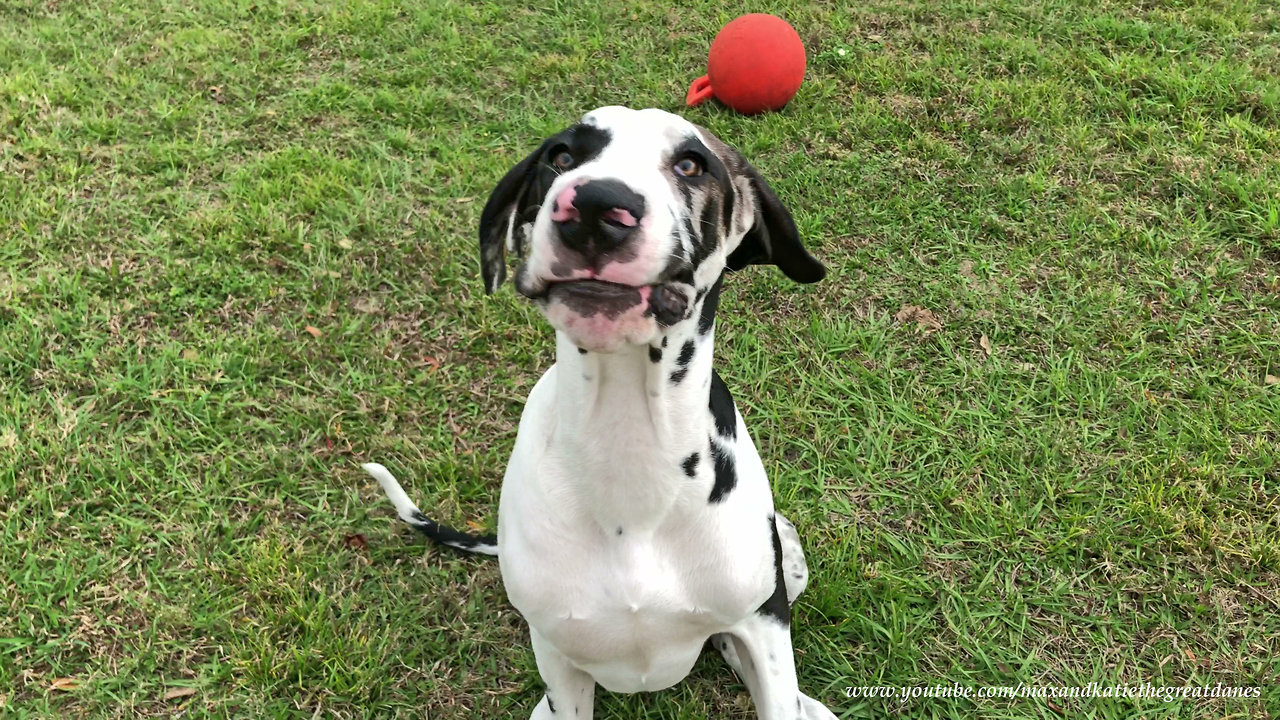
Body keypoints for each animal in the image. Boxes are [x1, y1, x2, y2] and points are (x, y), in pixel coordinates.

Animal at [366, 106, 834, 717]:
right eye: (561, 155)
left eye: (691, 163)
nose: (593, 206)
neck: (629, 443)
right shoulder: (559, 661)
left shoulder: (764, 622)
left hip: (787, 556)